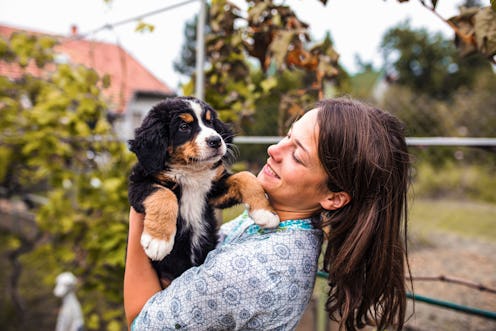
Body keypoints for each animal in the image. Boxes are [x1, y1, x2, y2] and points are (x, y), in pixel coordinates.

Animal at [128, 96, 280, 286]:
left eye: (210, 122)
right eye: (184, 126)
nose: (216, 140)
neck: (190, 171)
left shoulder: (214, 191)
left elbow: (245, 176)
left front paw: (266, 213)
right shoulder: (140, 182)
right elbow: (163, 194)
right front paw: (158, 242)